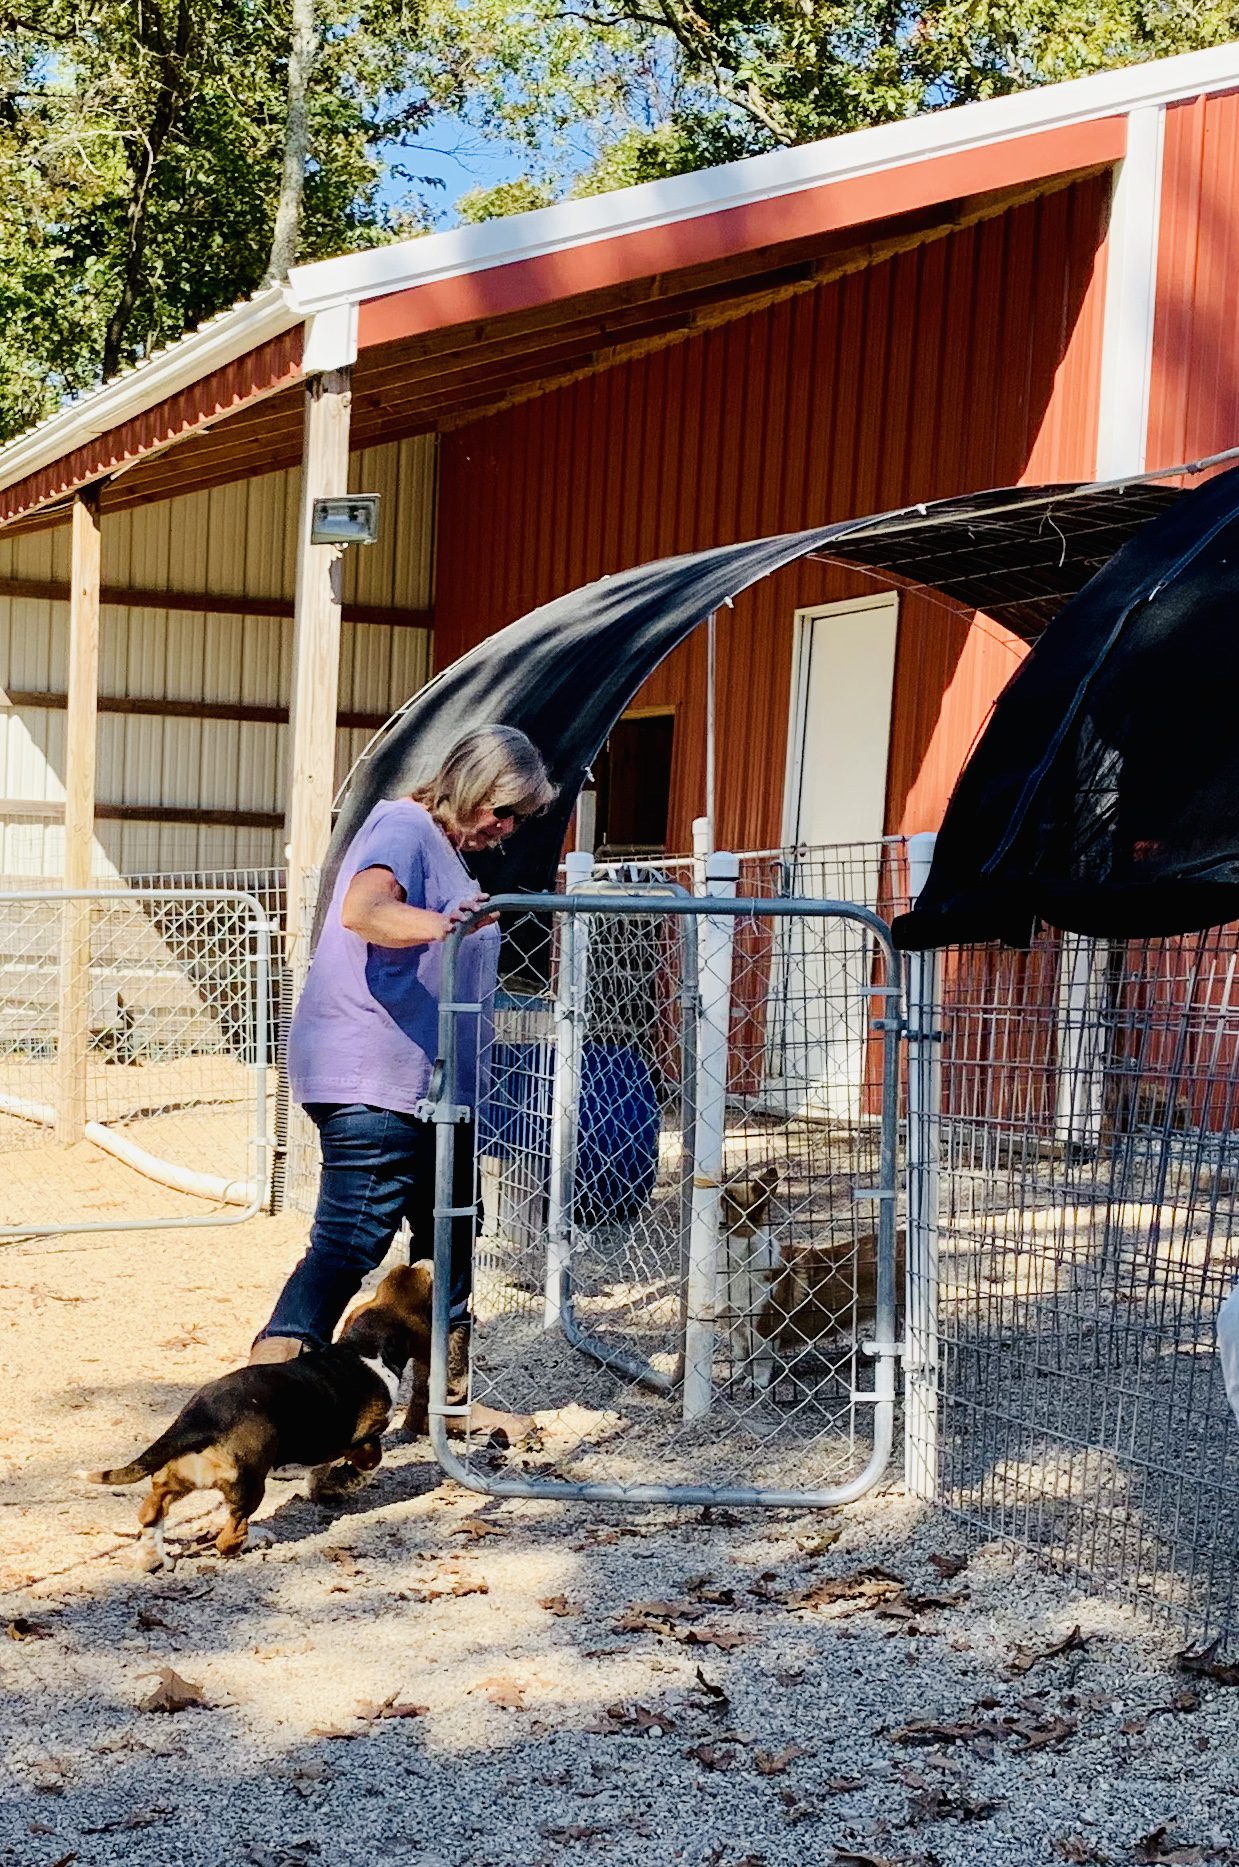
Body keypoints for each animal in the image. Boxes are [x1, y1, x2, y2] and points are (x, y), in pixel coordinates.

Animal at [88, 1262, 434, 1568]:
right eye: (427, 1287)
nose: (422, 1261)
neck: (365, 1346)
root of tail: (200, 1418)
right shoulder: (366, 1437)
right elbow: (370, 1461)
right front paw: (347, 1480)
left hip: (179, 1477)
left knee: (151, 1512)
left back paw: (153, 1557)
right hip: (249, 1485)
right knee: (228, 1539)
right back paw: (258, 1537)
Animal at [720, 1165, 906, 1389]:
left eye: (730, 1197)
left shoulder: (763, 1329)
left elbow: (760, 1361)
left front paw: (755, 1383)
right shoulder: (735, 1329)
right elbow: (740, 1357)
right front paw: (735, 1375)